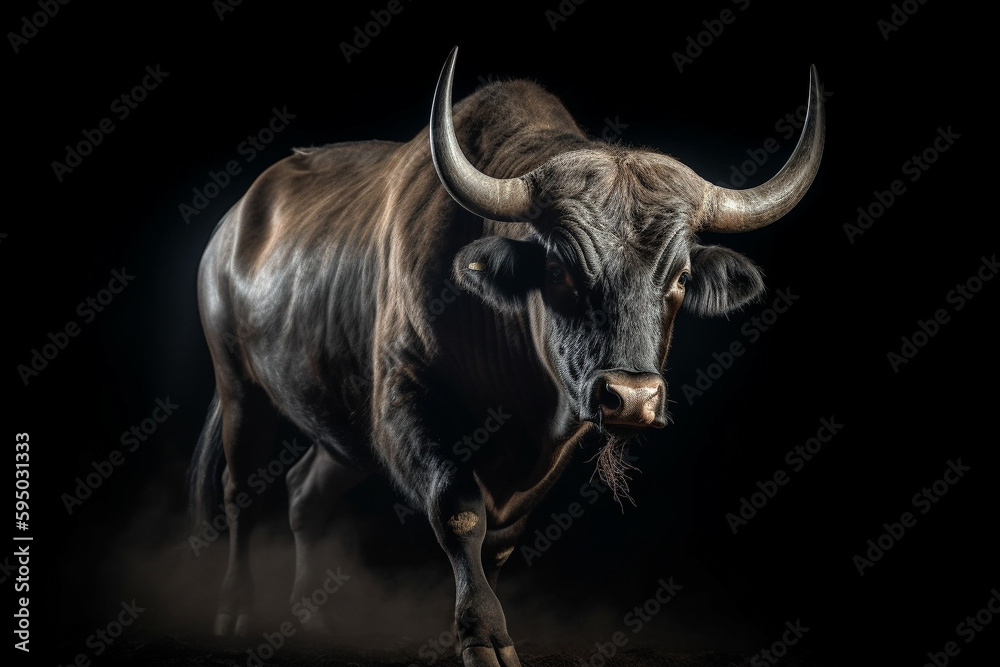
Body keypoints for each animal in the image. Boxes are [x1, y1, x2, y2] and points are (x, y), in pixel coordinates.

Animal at [188, 47, 824, 667]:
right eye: (559, 270)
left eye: (682, 278)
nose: (632, 398)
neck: (520, 401)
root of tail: (234, 223)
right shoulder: (405, 403)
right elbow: (459, 511)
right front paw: (484, 636)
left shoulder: (552, 442)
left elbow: (501, 539)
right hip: (240, 386)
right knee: (242, 491)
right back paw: (237, 610)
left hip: (338, 421)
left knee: (304, 494)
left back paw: (311, 619)